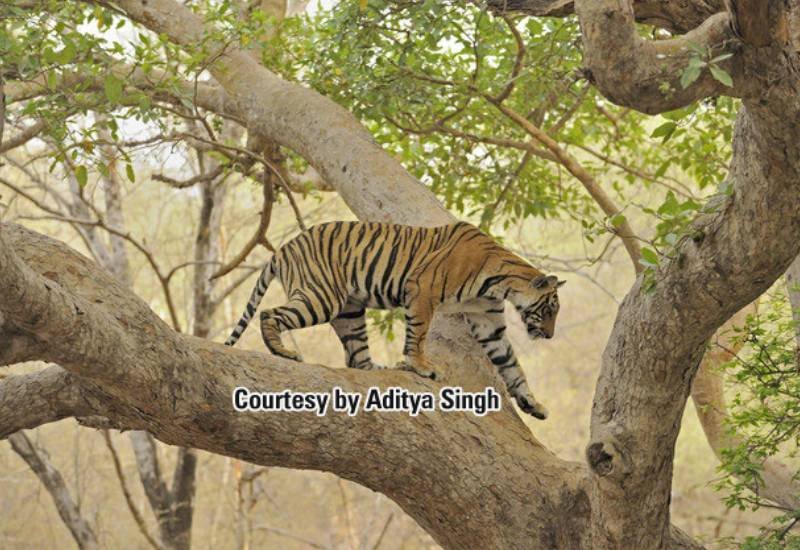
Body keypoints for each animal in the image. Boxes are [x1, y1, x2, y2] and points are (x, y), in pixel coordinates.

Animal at [224, 221, 564, 420]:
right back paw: (283, 352)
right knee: (269, 314)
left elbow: (513, 367)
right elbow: (418, 333)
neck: (501, 284)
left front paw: (533, 404)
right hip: (322, 297)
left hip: (349, 310)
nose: (548, 336)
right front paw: (421, 366)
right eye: (549, 310)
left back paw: (381, 369)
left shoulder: (488, 324)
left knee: (357, 357)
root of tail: (283, 248)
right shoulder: (423, 290)